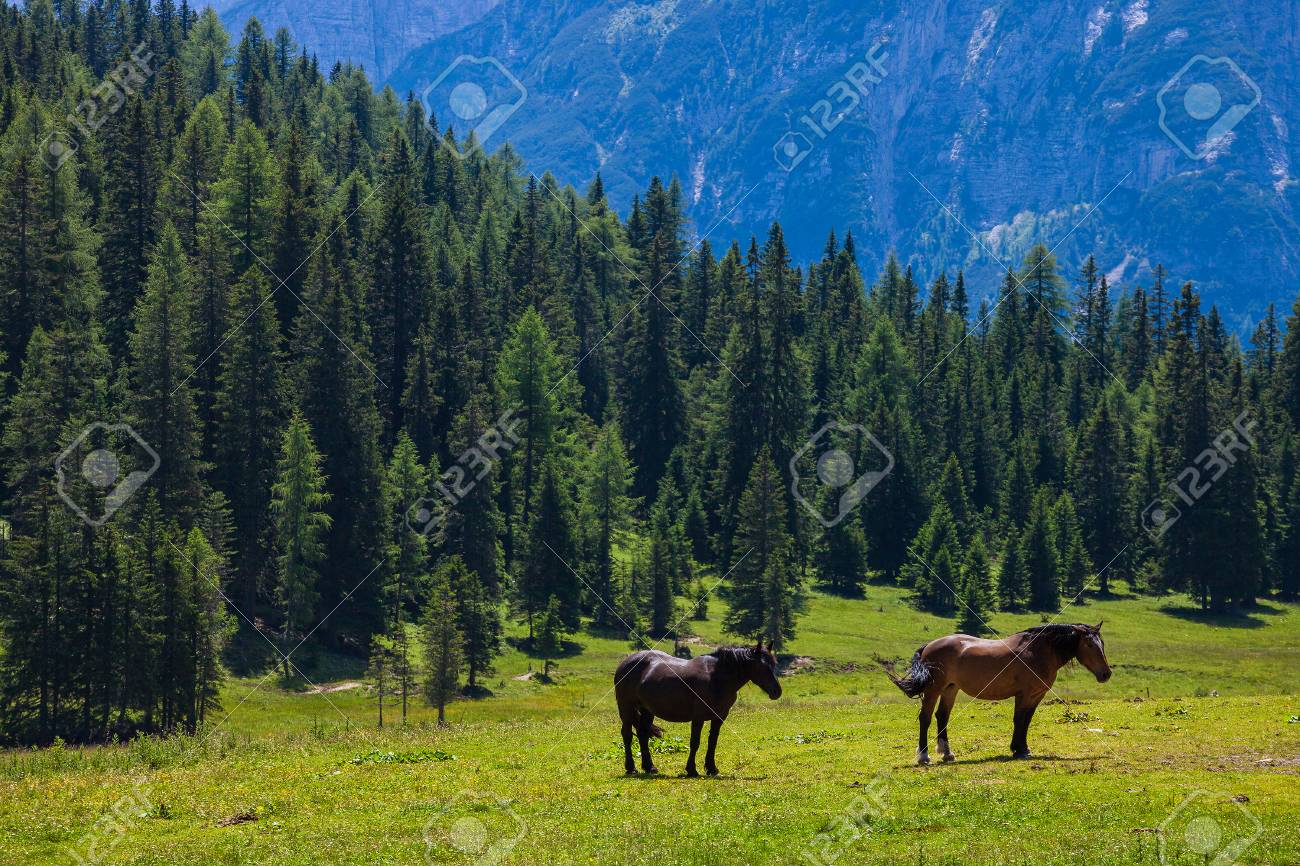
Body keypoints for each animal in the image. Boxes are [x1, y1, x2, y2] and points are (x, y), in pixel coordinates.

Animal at [611, 634, 780, 774]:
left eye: (774, 663)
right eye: (762, 666)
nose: (777, 691)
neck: (716, 678)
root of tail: (625, 663)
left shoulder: (719, 717)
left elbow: (712, 742)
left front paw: (711, 768)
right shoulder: (698, 717)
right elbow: (695, 742)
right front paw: (691, 769)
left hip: (647, 710)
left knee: (643, 734)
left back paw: (649, 767)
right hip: (626, 707)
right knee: (627, 735)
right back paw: (631, 768)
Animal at [883, 621, 1118, 764]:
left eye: (1102, 643)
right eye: (1089, 644)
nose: (1106, 674)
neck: (1038, 651)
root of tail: (929, 646)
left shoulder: (1036, 696)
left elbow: (1026, 721)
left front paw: (1023, 748)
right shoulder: (1024, 694)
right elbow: (1019, 720)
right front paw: (1018, 750)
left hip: (950, 689)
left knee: (942, 716)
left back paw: (947, 753)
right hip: (933, 689)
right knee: (926, 718)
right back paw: (924, 756)